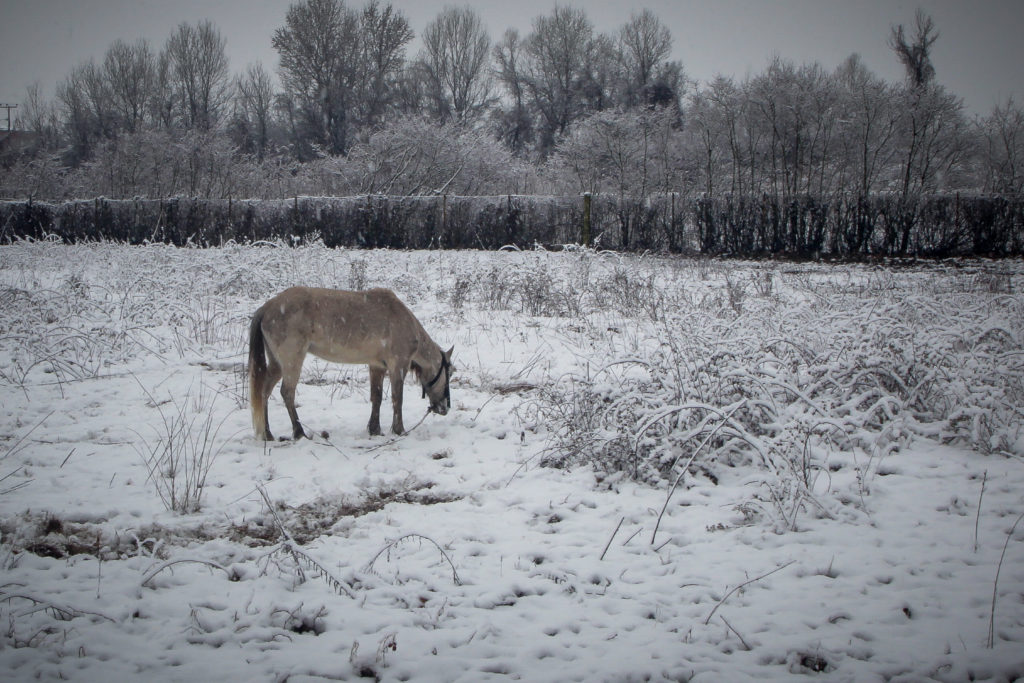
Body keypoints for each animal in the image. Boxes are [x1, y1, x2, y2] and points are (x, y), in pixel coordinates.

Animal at [245, 286, 454, 440]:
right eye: (450, 373)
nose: (444, 409)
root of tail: (267, 307)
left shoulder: (377, 366)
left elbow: (377, 397)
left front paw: (375, 429)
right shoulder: (398, 367)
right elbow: (397, 399)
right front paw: (399, 430)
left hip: (276, 364)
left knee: (264, 392)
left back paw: (268, 434)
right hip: (291, 361)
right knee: (287, 393)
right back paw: (299, 433)